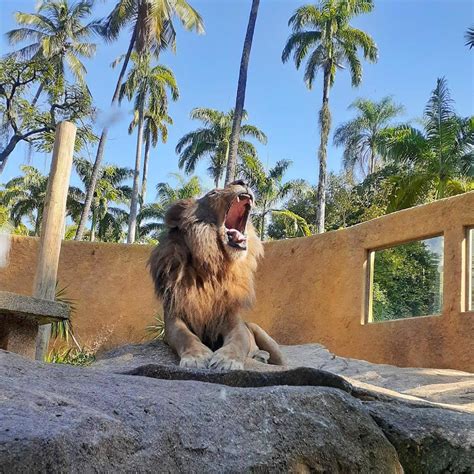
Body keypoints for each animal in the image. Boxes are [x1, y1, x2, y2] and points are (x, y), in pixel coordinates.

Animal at [149, 181, 286, 370]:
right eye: (213, 193)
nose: (242, 181)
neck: (213, 266)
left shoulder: (233, 320)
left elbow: (238, 341)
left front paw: (228, 360)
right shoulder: (173, 317)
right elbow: (185, 336)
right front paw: (196, 356)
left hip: (262, 334)